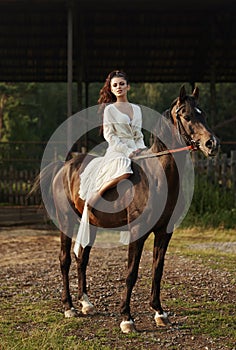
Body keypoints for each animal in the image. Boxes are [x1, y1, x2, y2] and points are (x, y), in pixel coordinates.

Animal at [34, 85, 219, 334]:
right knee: (65, 260)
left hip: (90, 224)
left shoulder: (164, 232)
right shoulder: (137, 232)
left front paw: (159, 312)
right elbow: (131, 272)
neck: (157, 177)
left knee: (82, 259)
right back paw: (69, 307)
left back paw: (86, 304)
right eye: (187, 116)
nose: (212, 144)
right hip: (66, 222)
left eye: (204, 114)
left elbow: (158, 270)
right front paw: (126, 318)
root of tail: (64, 166)